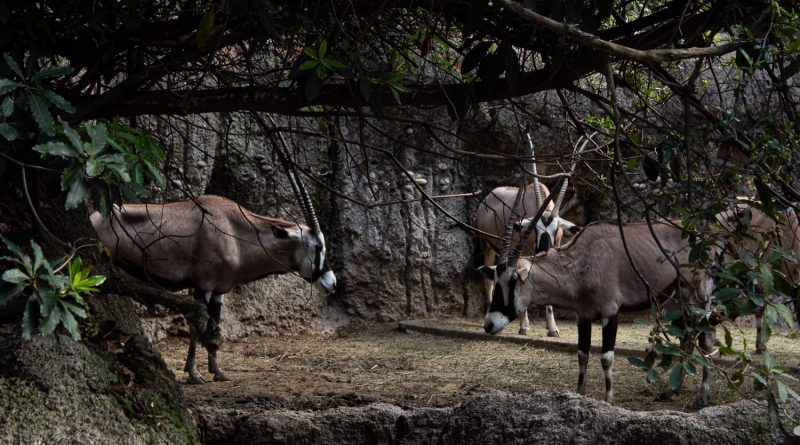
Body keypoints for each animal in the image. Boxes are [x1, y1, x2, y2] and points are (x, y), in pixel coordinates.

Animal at [90, 193, 334, 384]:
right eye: (317, 246)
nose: (332, 283)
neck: (236, 232)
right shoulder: (203, 286)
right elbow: (197, 325)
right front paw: (194, 374)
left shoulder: (219, 290)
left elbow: (215, 322)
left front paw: (217, 371)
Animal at [478, 175, 580, 334]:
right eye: (535, 229)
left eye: (556, 229)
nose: (544, 250)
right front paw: (524, 325)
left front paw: (552, 328)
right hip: (486, 245)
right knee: (488, 281)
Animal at [482, 201, 712, 406]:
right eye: (496, 279)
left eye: (512, 282)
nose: (489, 325)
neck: (581, 262)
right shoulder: (583, 316)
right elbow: (582, 355)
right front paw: (579, 395)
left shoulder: (610, 314)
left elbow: (606, 357)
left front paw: (609, 399)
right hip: (677, 303)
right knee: (687, 337)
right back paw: (672, 391)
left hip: (701, 299)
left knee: (705, 340)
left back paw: (702, 397)